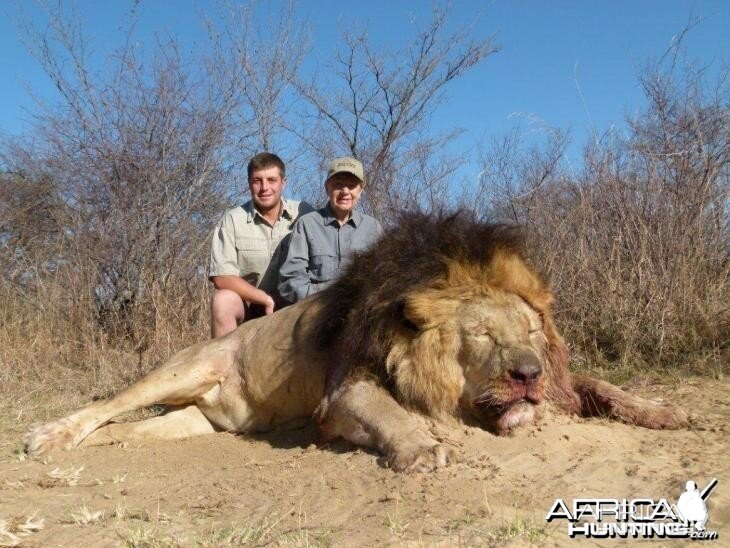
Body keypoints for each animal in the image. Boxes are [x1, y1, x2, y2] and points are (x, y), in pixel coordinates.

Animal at [21, 212, 684, 474]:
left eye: (531, 336)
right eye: (481, 336)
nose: (529, 376)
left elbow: (600, 385)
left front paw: (662, 410)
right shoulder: (344, 391)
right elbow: (386, 412)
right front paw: (422, 448)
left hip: (197, 422)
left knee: (127, 429)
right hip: (184, 368)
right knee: (107, 405)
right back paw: (47, 437)